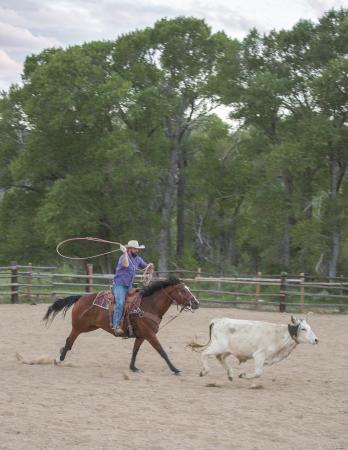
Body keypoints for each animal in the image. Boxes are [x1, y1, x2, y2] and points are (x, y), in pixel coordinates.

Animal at [42, 276, 198, 374]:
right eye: (183, 290)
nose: (196, 303)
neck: (149, 305)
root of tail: (80, 297)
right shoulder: (150, 334)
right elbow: (162, 351)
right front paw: (175, 369)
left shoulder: (141, 336)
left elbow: (135, 351)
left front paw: (133, 368)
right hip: (79, 327)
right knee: (69, 342)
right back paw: (58, 359)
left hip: (89, 327)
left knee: (69, 342)